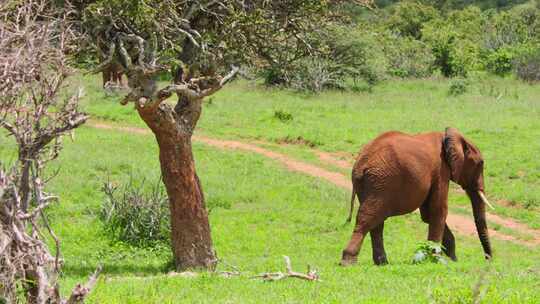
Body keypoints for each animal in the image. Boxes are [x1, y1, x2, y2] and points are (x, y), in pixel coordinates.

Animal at [342, 128, 494, 266]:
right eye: (480, 163)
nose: (488, 260)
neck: (449, 137)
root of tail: (359, 165)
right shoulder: (441, 170)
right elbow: (438, 210)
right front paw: (436, 260)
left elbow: (428, 214)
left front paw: (452, 259)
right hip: (380, 182)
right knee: (367, 218)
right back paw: (348, 262)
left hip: (373, 184)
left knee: (376, 223)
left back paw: (382, 263)